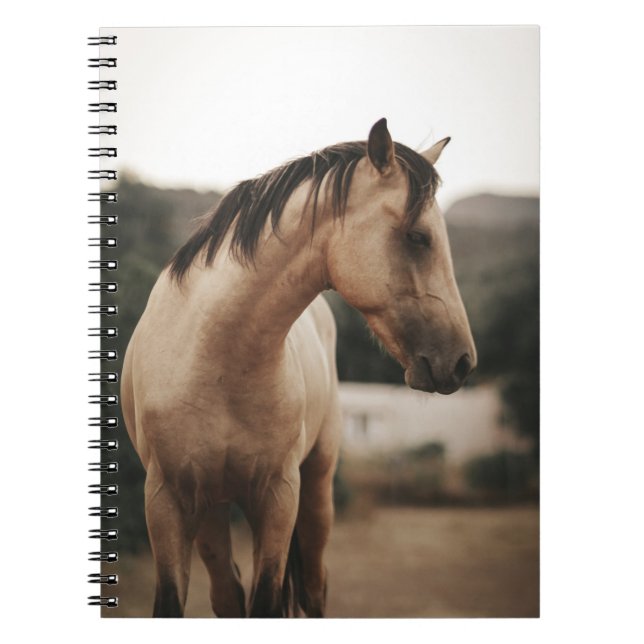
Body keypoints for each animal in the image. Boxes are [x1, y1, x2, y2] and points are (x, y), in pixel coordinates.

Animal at [120, 118, 477, 618]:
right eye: (417, 237)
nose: (463, 361)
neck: (215, 359)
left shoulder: (277, 497)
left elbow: (270, 601)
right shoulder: (166, 502)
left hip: (315, 491)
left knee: (313, 587)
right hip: (210, 510)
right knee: (228, 594)